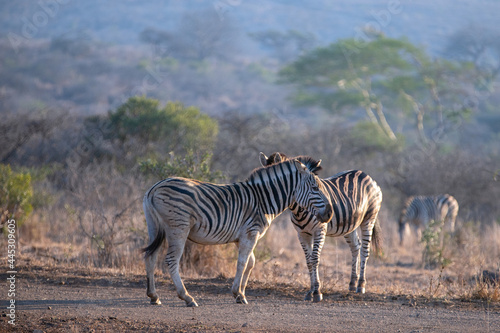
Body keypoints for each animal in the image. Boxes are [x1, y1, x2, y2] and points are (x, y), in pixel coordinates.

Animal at [143, 156, 334, 306]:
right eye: (315, 188)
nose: (330, 213)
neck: (263, 200)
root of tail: (154, 188)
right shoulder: (251, 233)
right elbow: (242, 262)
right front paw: (237, 293)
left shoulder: (241, 237)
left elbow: (250, 262)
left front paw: (241, 294)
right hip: (178, 227)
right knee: (171, 260)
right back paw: (187, 297)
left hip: (154, 226)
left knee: (150, 256)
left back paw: (154, 296)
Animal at [260, 152, 380, 300]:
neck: (299, 210)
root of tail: (364, 174)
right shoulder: (302, 234)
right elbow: (308, 261)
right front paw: (310, 291)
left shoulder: (319, 231)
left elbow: (315, 259)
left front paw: (317, 292)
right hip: (349, 225)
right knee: (355, 247)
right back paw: (352, 283)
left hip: (369, 219)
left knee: (364, 250)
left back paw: (361, 285)